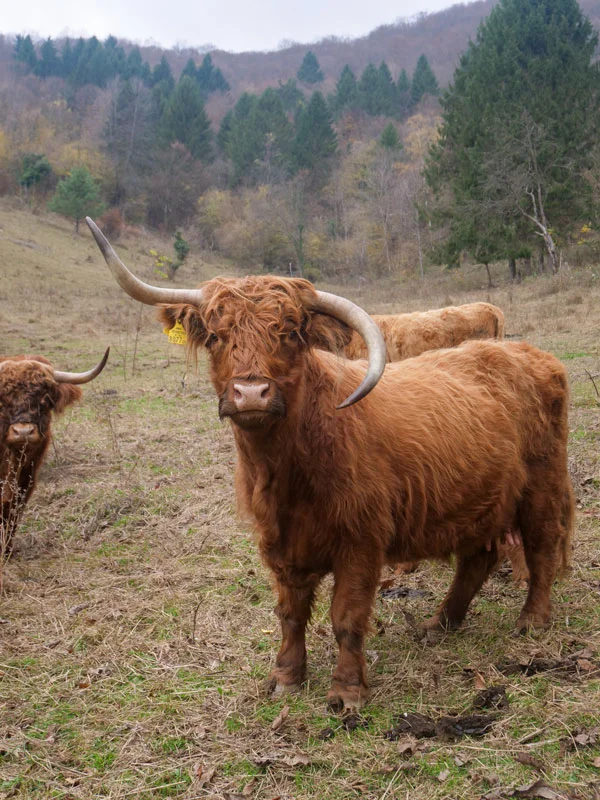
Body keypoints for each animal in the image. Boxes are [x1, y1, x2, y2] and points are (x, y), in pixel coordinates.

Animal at [0, 350, 109, 557]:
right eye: (3, 400)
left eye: (44, 400)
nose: (23, 432)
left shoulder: (27, 477)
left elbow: (12, 509)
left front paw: (7, 550)